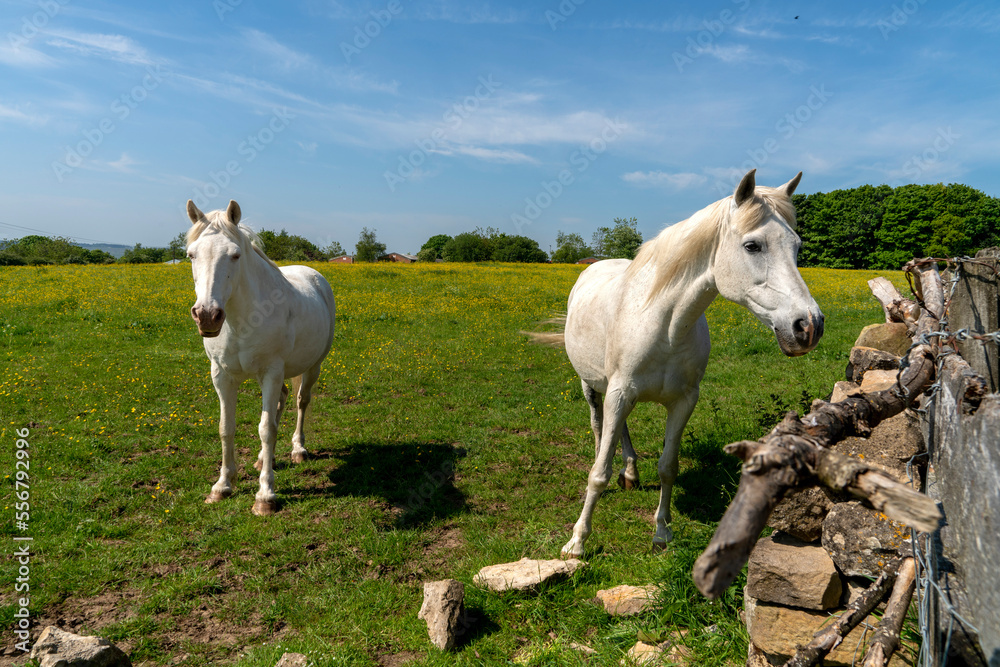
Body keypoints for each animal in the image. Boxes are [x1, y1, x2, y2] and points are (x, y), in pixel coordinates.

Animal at [185, 199, 336, 516]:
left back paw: (298, 450)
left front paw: (265, 496)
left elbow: (266, 429)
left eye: (235, 255)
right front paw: (222, 486)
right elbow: (226, 428)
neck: (243, 319)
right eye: (191, 255)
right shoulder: (222, 375)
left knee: (301, 401)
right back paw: (262, 458)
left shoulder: (271, 372)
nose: (207, 316)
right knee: (282, 399)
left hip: (313, 366)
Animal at [533, 170, 823, 559]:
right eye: (752, 246)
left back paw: (630, 472)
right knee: (599, 427)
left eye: (797, 246)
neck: (665, 323)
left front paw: (662, 533)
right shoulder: (619, 393)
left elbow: (667, 467)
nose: (809, 326)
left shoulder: (683, 401)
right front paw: (578, 542)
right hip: (593, 387)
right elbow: (597, 473)